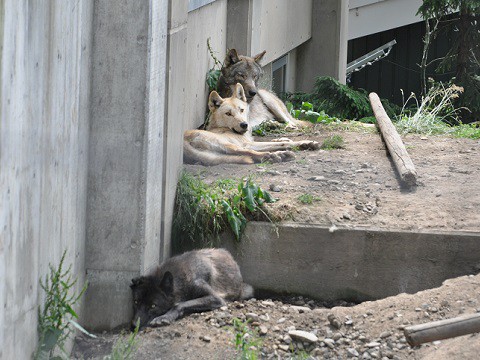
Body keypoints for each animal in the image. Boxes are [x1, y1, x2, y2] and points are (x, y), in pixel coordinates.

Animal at [184, 83, 318, 166]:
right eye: (228, 114)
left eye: (242, 110)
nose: (244, 125)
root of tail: (184, 142)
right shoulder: (248, 144)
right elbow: (283, 143)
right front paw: (304, 143)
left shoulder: (250, 143)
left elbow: (280, 142)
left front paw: (304, 144)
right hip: (229, 146)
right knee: (249, 153)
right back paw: (276, 156)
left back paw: (279, 154)